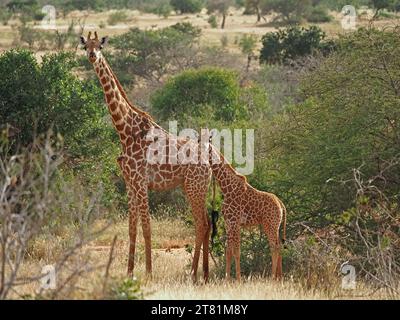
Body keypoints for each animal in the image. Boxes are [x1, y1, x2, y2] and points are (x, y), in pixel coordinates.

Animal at [81, 31, 212, 282]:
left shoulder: (141, 182)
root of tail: (210, 163)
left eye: (100, 46)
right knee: (206, 223)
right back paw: (204, 274)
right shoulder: (130, 183)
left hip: (195, 187)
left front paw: (149, 272)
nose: (92, 56)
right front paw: (129, 272)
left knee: (202, 224)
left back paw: (194, 274)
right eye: (85, 46)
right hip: (193, 187)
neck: (125, 131)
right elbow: (131, 229)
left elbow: (147, 228)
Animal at [208, 140, 286, 280]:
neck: (227, 188)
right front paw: (227, 280)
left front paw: (238, 280)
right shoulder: (229, 223)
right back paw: (279, 278)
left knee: (275, 247)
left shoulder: (235, 222)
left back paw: (272, 278)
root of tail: (281, 204)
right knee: (280, 246)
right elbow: (228, 251)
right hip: (276, 226)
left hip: (270, 225)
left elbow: (237, 251)